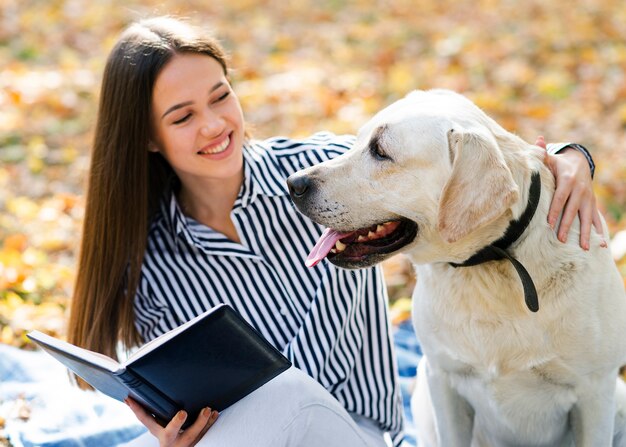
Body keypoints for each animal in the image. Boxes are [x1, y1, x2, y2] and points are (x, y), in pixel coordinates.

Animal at [286, 88, 624, 447]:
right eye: (357, 141)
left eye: (380, 151)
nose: (293, 183)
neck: (489, 262)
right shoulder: (442, 380)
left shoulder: (595, 392)